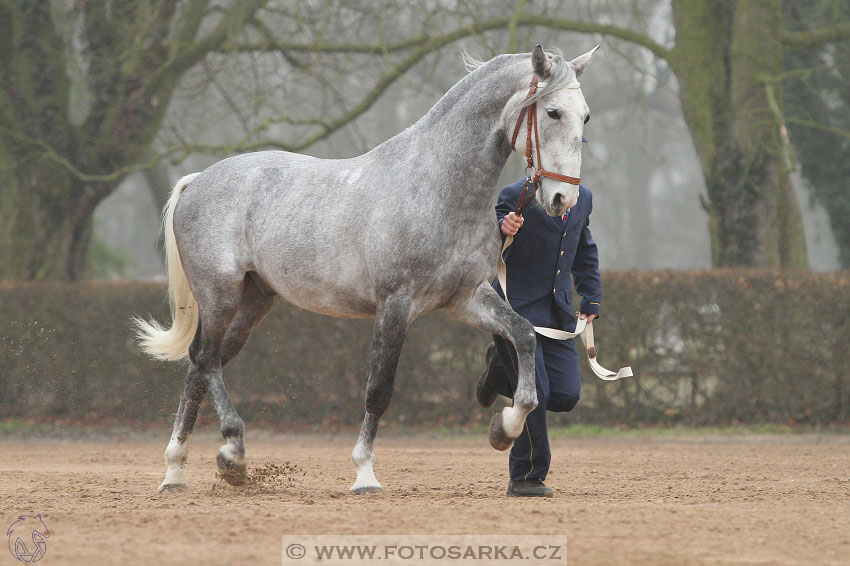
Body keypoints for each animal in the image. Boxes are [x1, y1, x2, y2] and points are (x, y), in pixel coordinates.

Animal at [136, 44, 596, 494]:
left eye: (586, 115)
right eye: (553, 112)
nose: (563, 200)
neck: (436, 187)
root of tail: (198, 181)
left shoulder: (466, 298)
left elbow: (524, 336)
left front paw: (504, 429)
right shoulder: (395, 304)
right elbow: (379, 390)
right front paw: (364, 474)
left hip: (254, 301)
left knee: (201, 366)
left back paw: (177, 470)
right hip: (220, 294)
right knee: (204, 358)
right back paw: (231, 451)